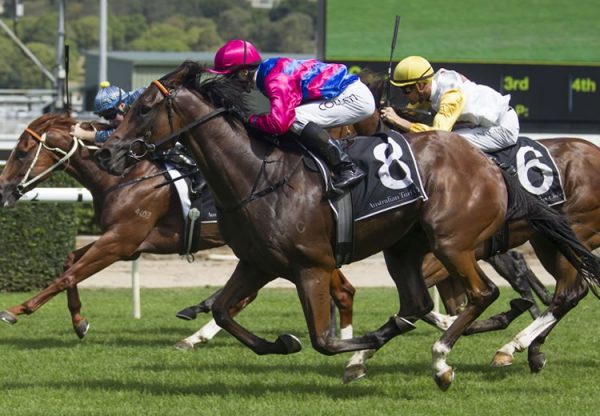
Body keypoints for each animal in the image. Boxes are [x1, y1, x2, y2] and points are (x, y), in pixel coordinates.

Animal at [0, 112, 356, 346]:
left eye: (22, 152)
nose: (3, 188)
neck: (126, 177)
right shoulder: (126, 243)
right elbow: (70, 262)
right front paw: (79, 321)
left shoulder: (121, 240)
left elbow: (68, 275)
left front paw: (16, 310)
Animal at [95, 59, 600, 390]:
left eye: (143, 108)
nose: (107, 152)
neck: (259, 175)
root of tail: (487, 166)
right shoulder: (257, 263)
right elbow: (224, 309)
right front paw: (283, 343)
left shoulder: (311, 267)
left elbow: (322, 339)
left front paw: (355, 342)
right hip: (410, 247)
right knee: (426, 302)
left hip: (454, 241)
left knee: (492, 292)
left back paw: (451, 359)